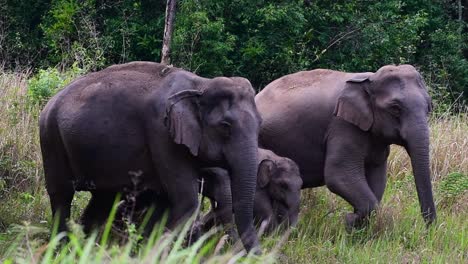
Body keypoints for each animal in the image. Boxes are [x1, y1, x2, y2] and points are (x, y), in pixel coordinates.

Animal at [40, 60, 264, 252]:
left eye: (260, 123)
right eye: (225, 126)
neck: (200, 84)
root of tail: (49, 102)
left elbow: (165, 203)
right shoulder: (161, 133)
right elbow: (186, 202)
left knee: (102, 200)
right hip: (50, 137)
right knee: (61, 195)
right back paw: (60, 249)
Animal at [256, 64, 436, 229]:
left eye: (429, 106)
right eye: (395, 108)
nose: (428, 229)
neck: (369, 80)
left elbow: (377, 177)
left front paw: (356, 226)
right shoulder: (342, 125)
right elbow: (339, 174)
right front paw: (350, 220)